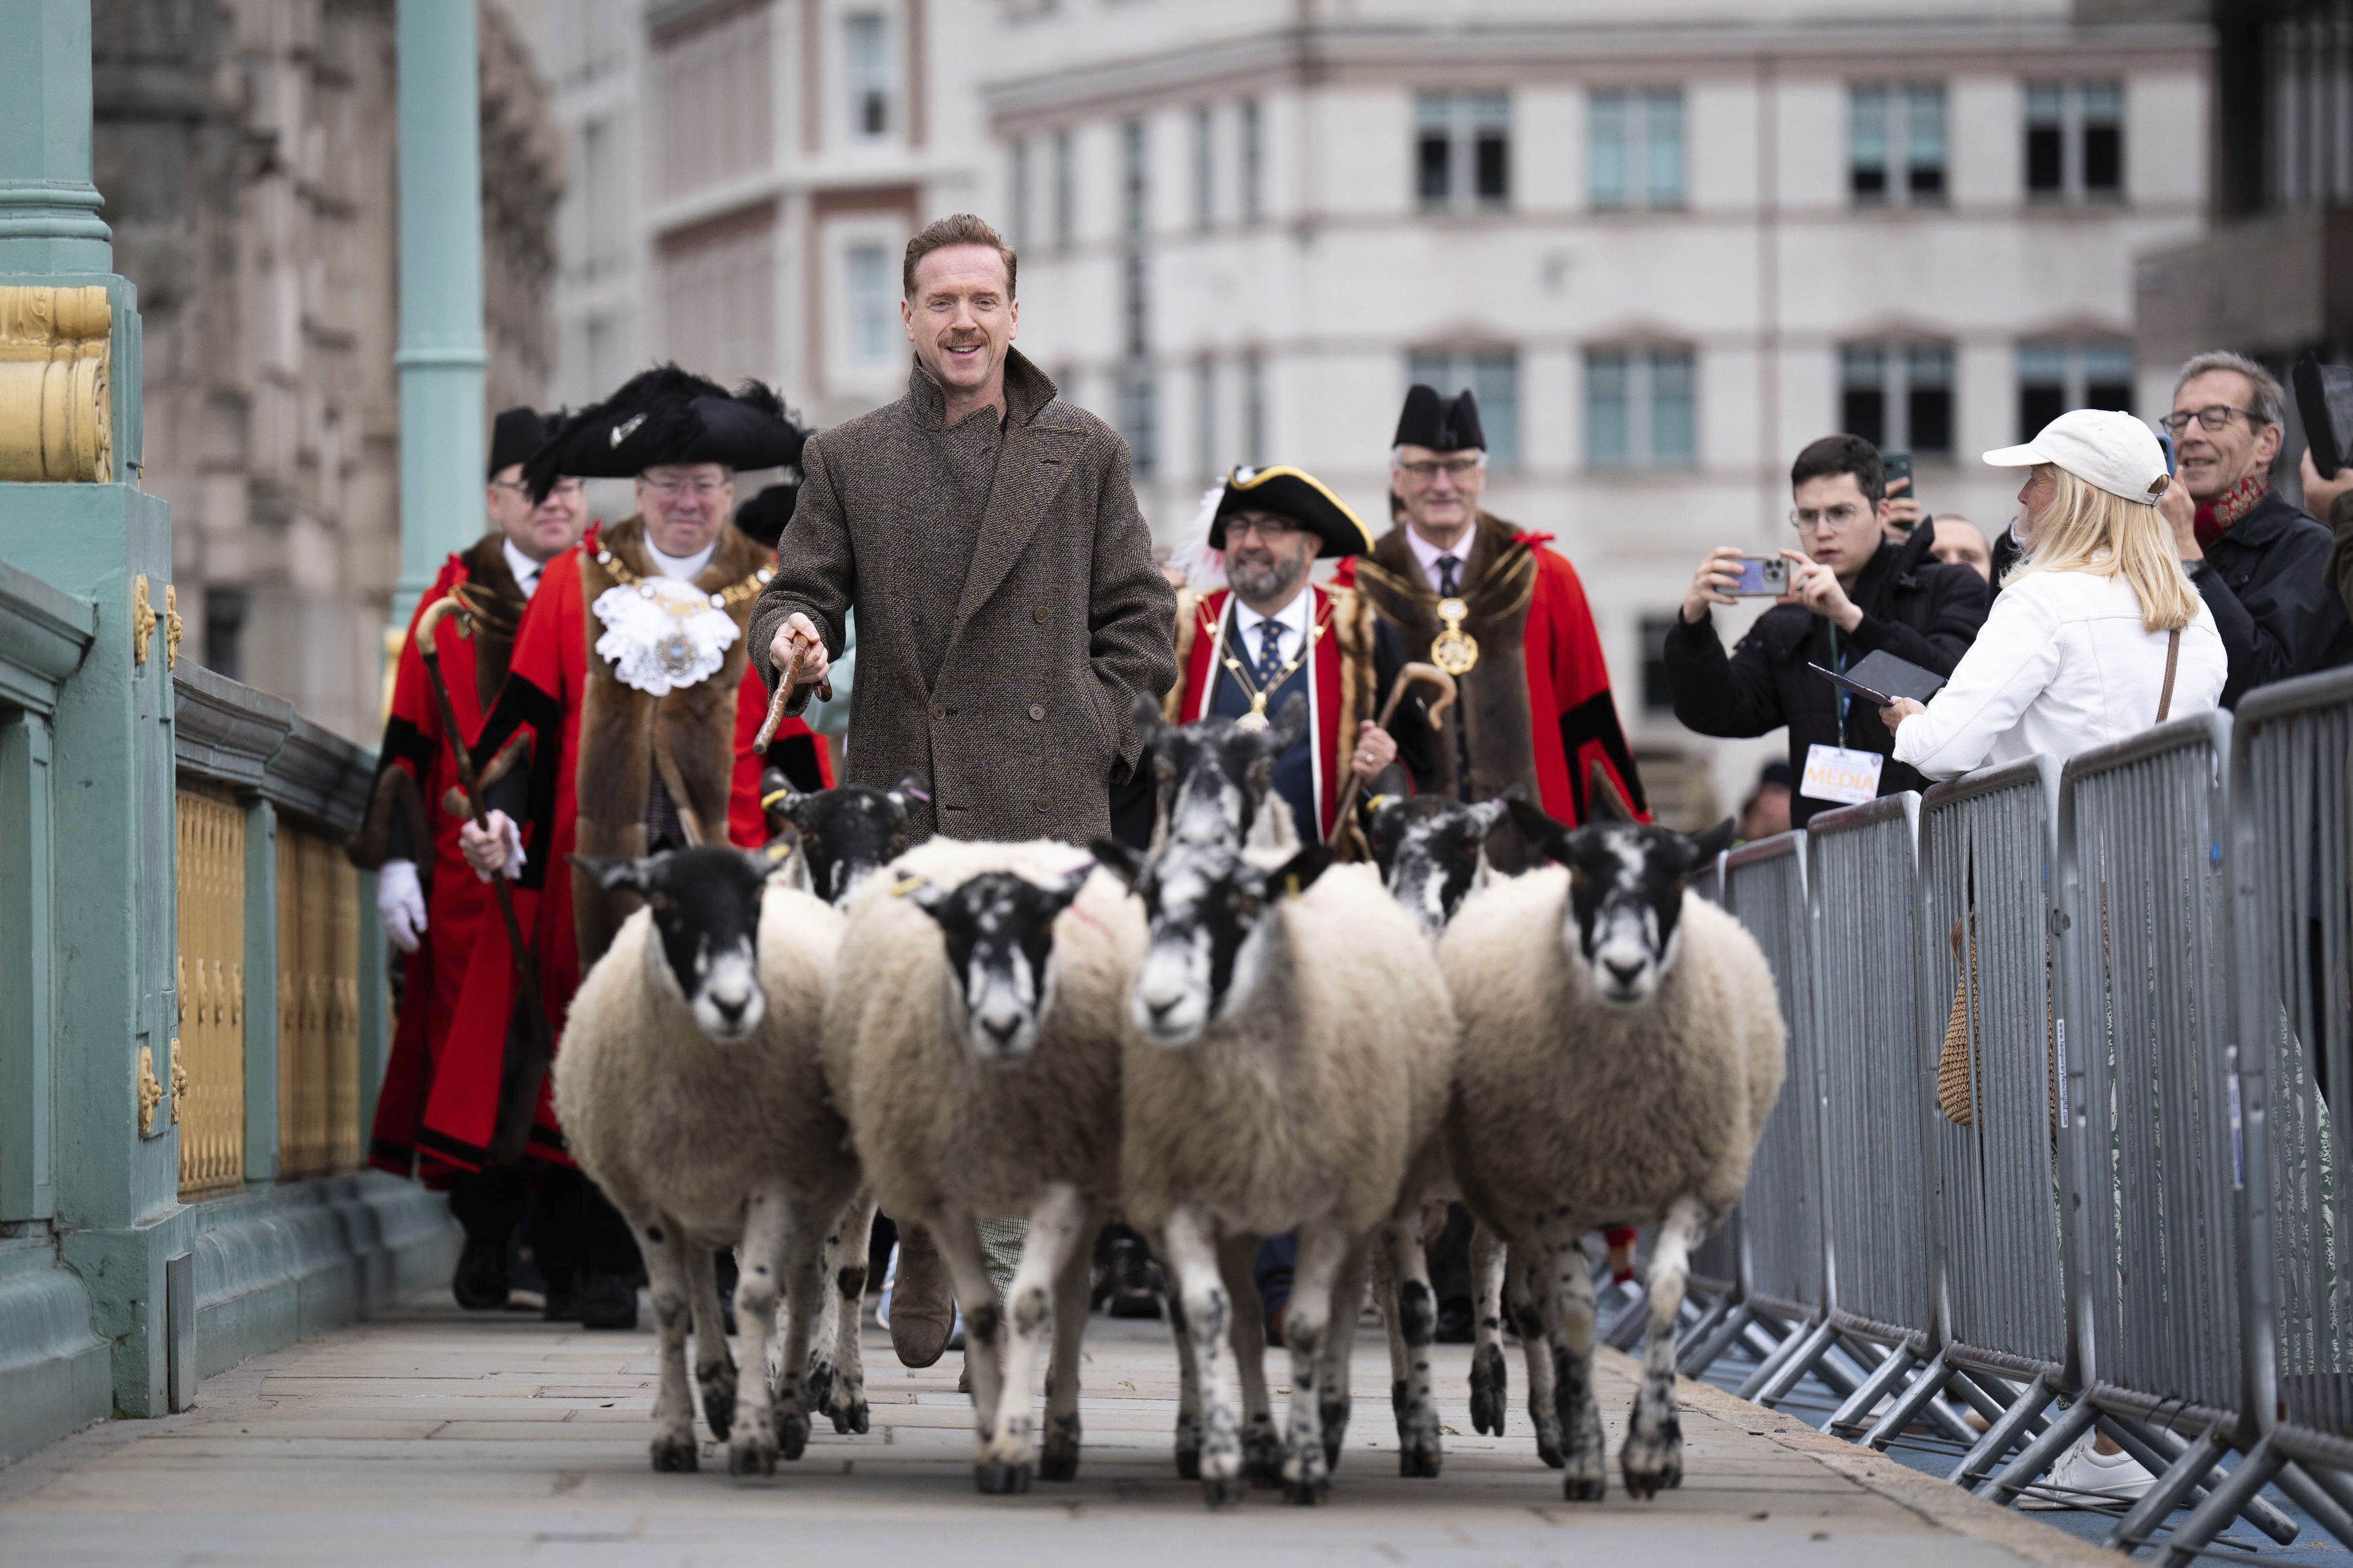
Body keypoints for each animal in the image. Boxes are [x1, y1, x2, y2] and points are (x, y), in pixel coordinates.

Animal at [555, 846, 861, 1476]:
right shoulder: (649, 1195)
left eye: (752, 900)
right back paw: (726, 1387)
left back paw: (823, 1393)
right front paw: (678, 1432)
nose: (732, 1003)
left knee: (826, 1278)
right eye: (663, 901)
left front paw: (757, 1433)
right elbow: (675, 1304)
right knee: (716, 1276)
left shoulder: (777, 1181)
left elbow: (761, 1294)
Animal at [824, 832, 1144, 1495]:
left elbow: (1027, 1303)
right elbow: (977, 1310)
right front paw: (994, 1431)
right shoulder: (942, 1188)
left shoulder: (1060, 1183)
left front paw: (1014, 1440)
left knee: (1071, 1298)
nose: (1001, 1022)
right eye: (955, 931)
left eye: (1042, 926)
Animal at [1096, 832, 1459, 1504]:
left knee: (1353, 1300)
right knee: (1231, 1318)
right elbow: (1211, 1316)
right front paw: (1225, 1453)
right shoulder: (1186, 1201)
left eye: (1245, 904)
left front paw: (1309, 1461)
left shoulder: (1337, 1205)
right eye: (1148, 900)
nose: (1160, 1002)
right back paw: (1246, 1439)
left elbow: (1317, 1324)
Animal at [1431, 804, 1779, 1504]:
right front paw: (1588, 1454)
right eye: (1583, 874)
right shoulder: (1547, 1199)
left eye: (1677, 881)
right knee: (1492, 1270)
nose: (1623, 967)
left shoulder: (1693, 1188)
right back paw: (1498, 1394)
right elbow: (1571, 1310)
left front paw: (1652, 1449)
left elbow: (1665, 1291)